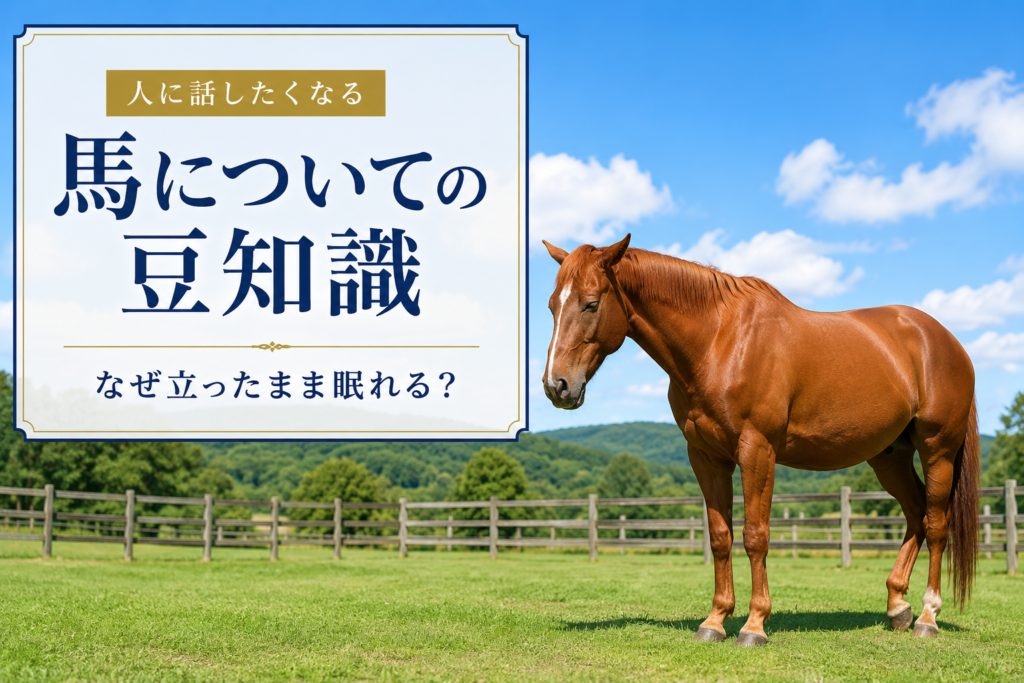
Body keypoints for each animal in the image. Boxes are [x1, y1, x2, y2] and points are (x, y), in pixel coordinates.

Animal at [540, 234, 979, 647]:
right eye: (551, 306)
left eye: (591, 304)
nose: (556, 386)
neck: (719, 341)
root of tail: (945, 340)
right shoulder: (706, 457)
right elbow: (721, 537)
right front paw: (715, 621)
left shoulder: (757, 450)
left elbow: (755, 536)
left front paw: (754, 625)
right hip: (889, 457)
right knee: (916, 514)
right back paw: (898, 607)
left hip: (937, 450)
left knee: (936, 525)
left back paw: (927, 616)